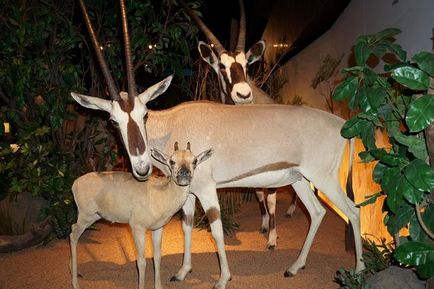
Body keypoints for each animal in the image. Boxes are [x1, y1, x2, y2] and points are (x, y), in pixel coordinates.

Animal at [69, 141, 214, 288]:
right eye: (172, 161)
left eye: (194, 161)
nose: (184, 173)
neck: (163, 194)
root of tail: (75, 184)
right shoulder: (137, 227)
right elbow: (141, 261)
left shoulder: (158, 228)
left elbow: (157, 257)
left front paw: (158, 286)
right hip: (86, 215)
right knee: (73, 234)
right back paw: (75, 282)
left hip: (95, 216)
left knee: (73, 230)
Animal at [180, 0, 298, 249]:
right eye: (222, 66)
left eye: (246, 64)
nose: (243, 94)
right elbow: (259, 194)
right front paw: (264, 226)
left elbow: (270, 199)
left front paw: (272, 239)